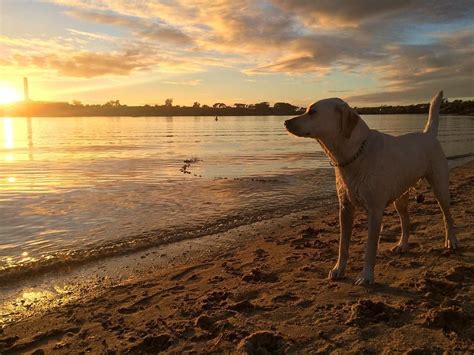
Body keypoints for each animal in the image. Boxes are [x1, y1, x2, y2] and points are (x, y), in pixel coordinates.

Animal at [286, 92, 460, 286]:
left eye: (313, 112)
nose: (286, 122)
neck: (353, 154)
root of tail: (428, 135)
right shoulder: (345, 208)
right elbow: (343, 245)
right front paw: (339, 269)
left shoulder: (375, 211)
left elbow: (370, 248)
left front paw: (366, 276)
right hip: (400, 197)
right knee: (406, 222)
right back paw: (402, 245)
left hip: (440, 188)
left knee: (447, 217)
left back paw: (451, 241)